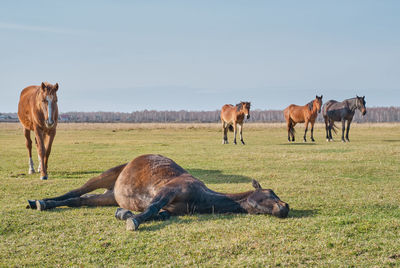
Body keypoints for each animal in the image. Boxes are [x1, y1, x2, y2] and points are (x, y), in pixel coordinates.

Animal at [28, 154, 290, 231]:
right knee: (75, 191)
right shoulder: (167, 192)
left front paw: (124, 214)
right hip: (104, 176)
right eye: (271, 192)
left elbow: (159, 213)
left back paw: (43, 203)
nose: (286, 207)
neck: (199, 197)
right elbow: (152, 208)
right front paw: (132, 220)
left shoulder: (169, 207)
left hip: (107, 196)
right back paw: (39, 201)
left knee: (78, 200)